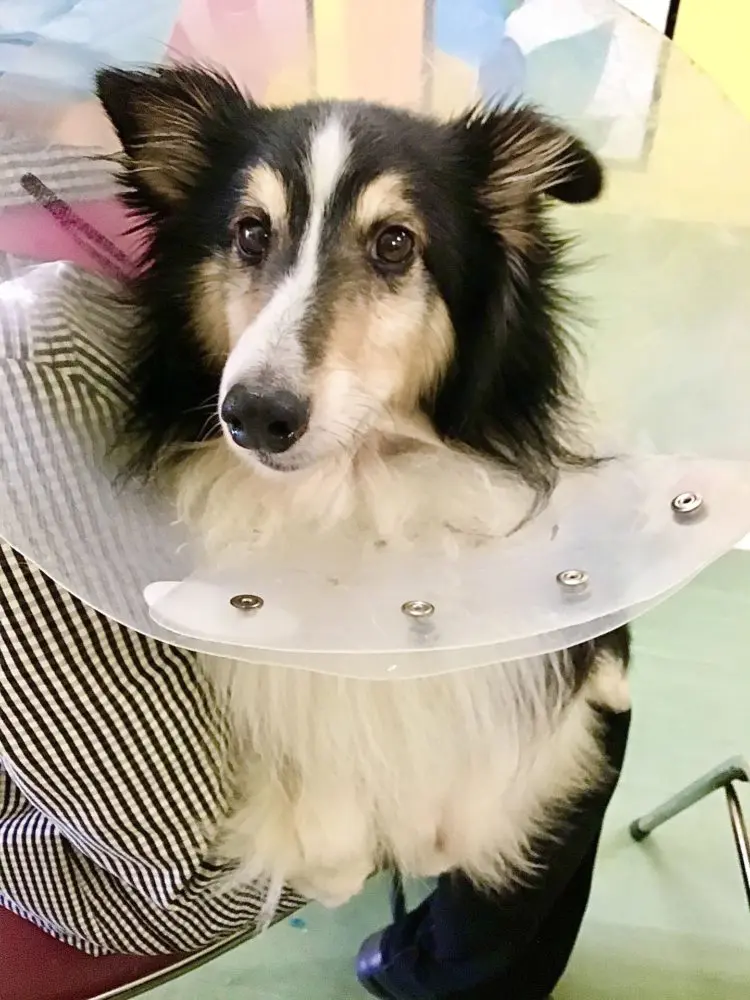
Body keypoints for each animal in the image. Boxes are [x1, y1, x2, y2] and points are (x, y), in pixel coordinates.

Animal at [96, 65, 631, 908]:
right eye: (251, 231)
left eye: (394, 243)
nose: (254, 415)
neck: (355, 492)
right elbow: (330, 782)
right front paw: (345, 863)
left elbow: (490, 762)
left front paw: (439, 839)